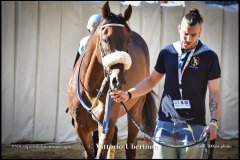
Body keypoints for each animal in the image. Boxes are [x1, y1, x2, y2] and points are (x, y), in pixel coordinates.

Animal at [67, 1, 158, 159]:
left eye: (127, 40)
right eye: (105, 39)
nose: (118, 80)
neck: (90, 90)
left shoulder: (106, 126)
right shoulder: (81, 128)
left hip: (135, 109)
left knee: (130, 145)